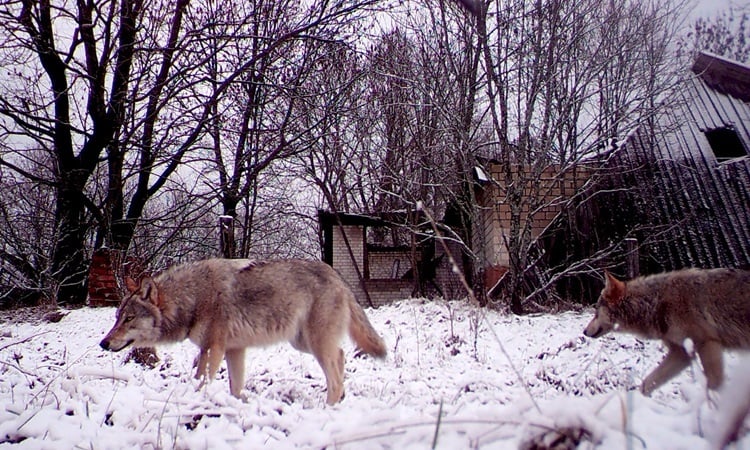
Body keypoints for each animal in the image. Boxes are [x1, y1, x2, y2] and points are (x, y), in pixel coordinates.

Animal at [100, 258, 388, 406]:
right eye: (117, 318)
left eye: (129, 319)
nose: (104, 343)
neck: (193, 297)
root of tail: (338, 276)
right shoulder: (234, 350)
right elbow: (235, 387)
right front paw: (236, 406)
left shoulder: (212, 349)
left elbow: (201, 380)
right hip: (303, 343)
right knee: (341, 356)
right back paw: (341, 400)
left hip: (314, 344)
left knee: (335, 372)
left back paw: (329, 408)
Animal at [584, 268, 750, 394]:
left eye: (596, 311)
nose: (584, 332)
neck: (655, 303)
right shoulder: (681, 353)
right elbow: (647, 383)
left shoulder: (707, 343)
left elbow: (714, 383)